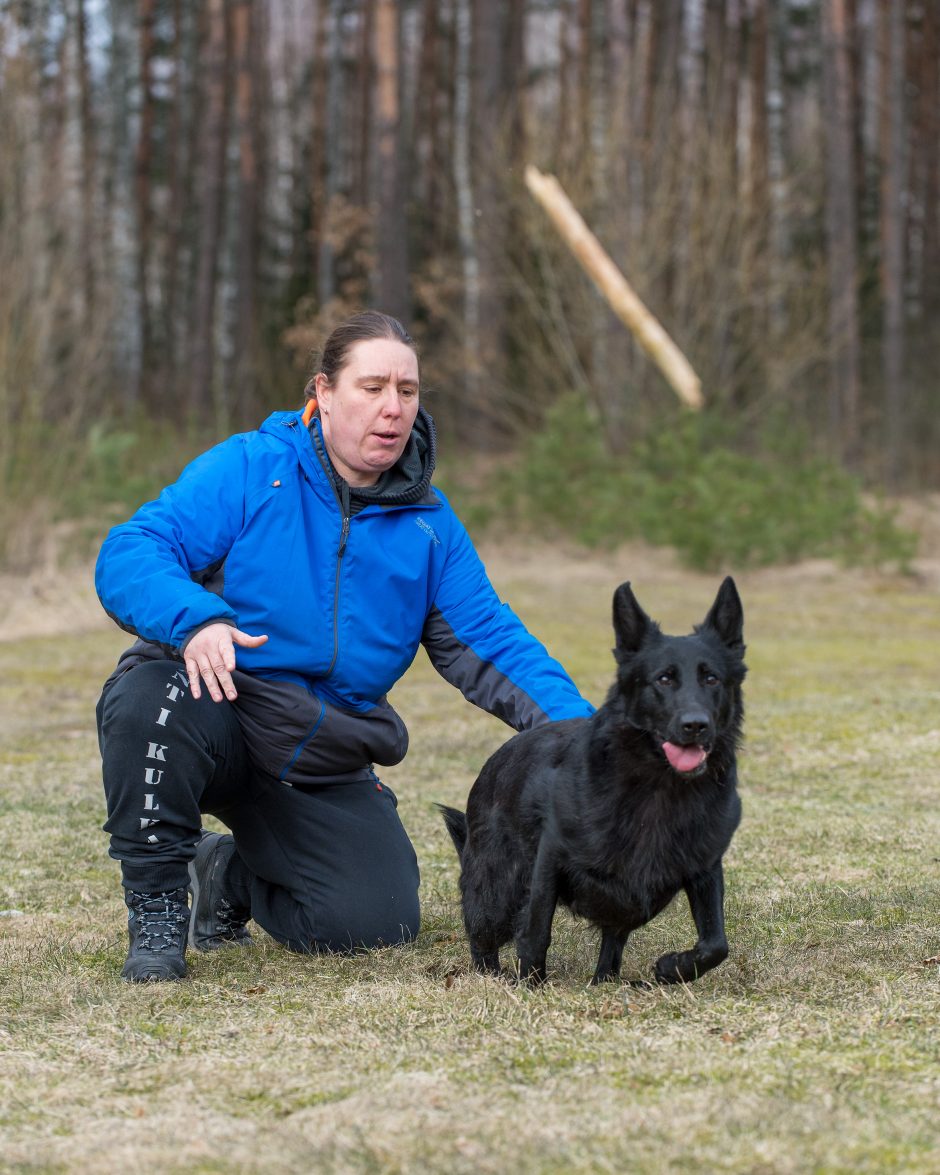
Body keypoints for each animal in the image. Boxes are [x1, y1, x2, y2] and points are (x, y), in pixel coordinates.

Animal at [437, 575, 747, 982]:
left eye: (711, 678)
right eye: (664, 679)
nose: (695, 726)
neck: (659, 787)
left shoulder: (704, 865)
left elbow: (716, 944)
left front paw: (672, 968)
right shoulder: (549, 858)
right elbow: (536, 932)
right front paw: (531, 984)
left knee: (613, 941)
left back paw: (606, 980)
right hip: (497, 891)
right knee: (483, 936)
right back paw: (491, 976)